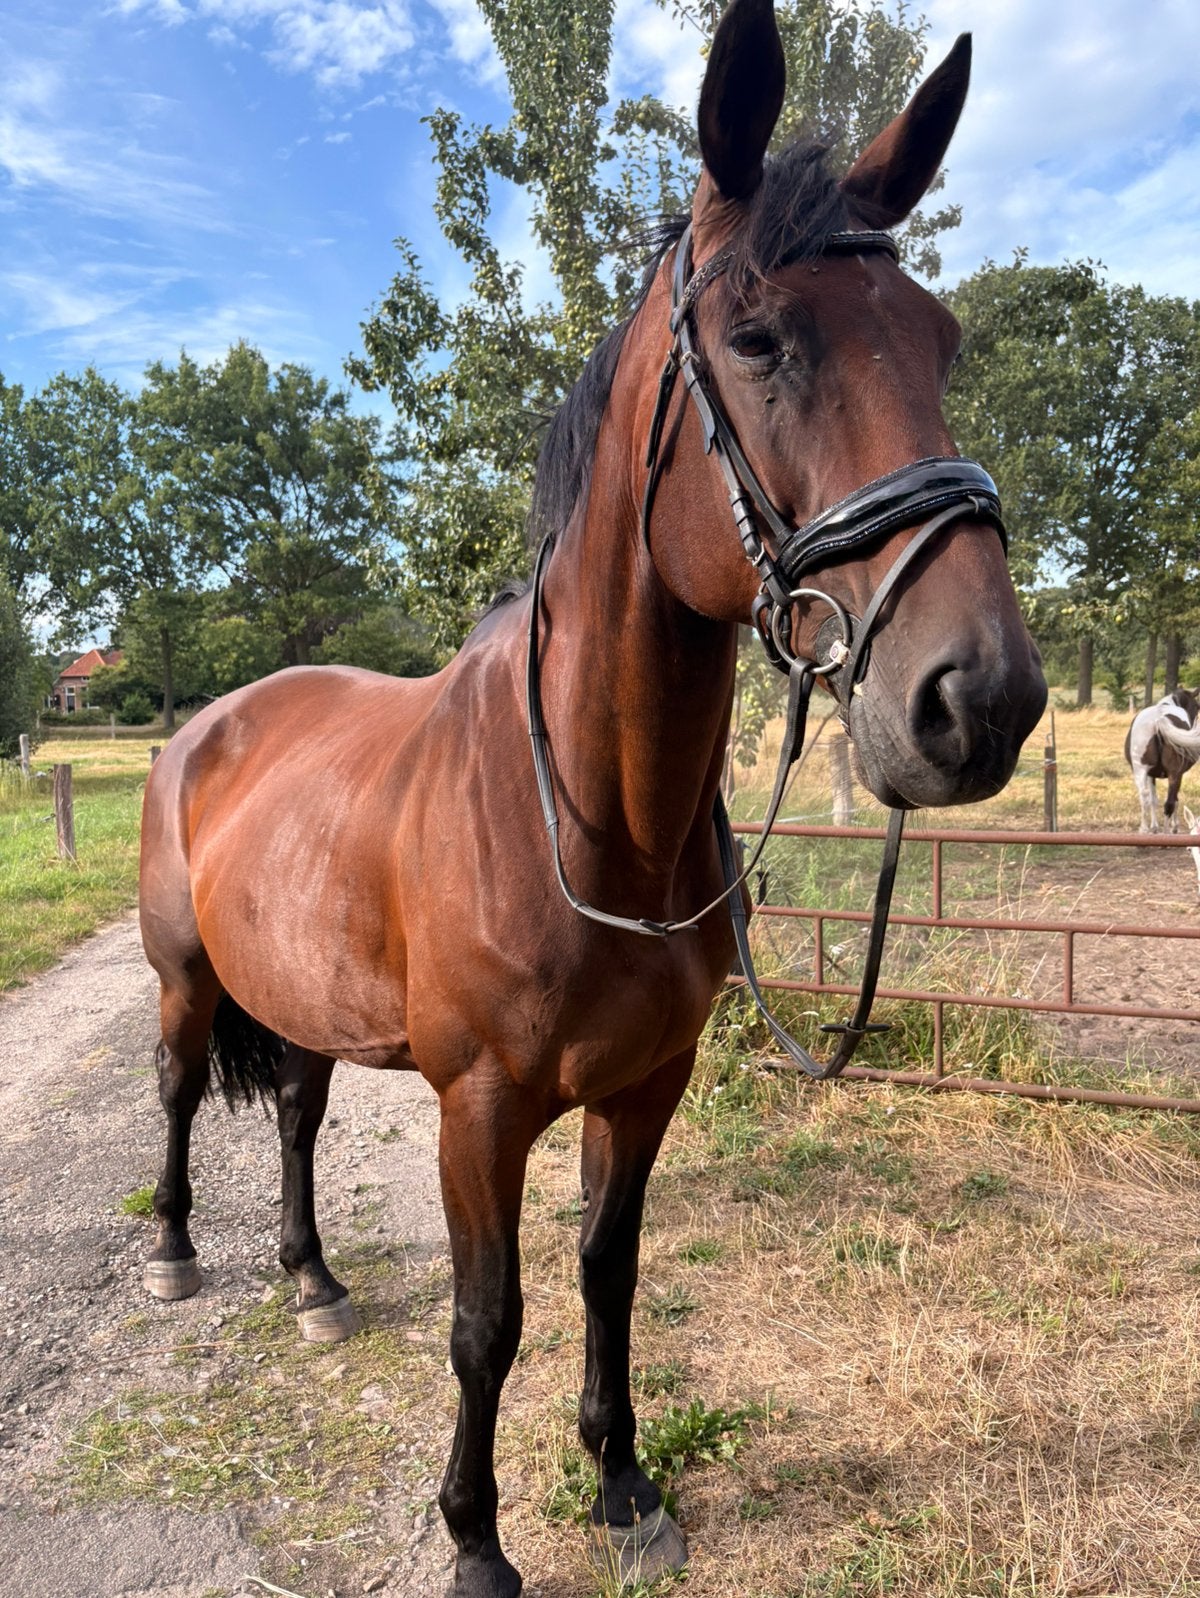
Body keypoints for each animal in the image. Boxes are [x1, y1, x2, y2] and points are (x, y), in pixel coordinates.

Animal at [137, 4, 1047, 1591]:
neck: (589, 821)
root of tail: (208, 729)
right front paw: (476, 1538)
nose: (978, 699)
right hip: (193, 980)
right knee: (186, 1093)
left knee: (300, 1113)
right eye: (757, 338)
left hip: (300, 989)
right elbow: (485, 1321)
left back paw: (312, 1277)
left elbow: (607, 1271)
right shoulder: (481, 1107)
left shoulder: (644, 1084)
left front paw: (623, 1481)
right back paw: (182, 1249)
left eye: (940, 338)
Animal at [1124, 688, 1200, 832]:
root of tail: (1157, 722)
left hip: (1140, 770)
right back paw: (1167, 832)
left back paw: (1144, 830)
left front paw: (1154, 827)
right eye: (1196, 706)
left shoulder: (1150, 774)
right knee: (1169, 803)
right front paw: (1174, 826)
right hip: (1174, 773)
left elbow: (1153, 799)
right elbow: (1175, 800)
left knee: (1144, 797)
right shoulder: (1177, 774)